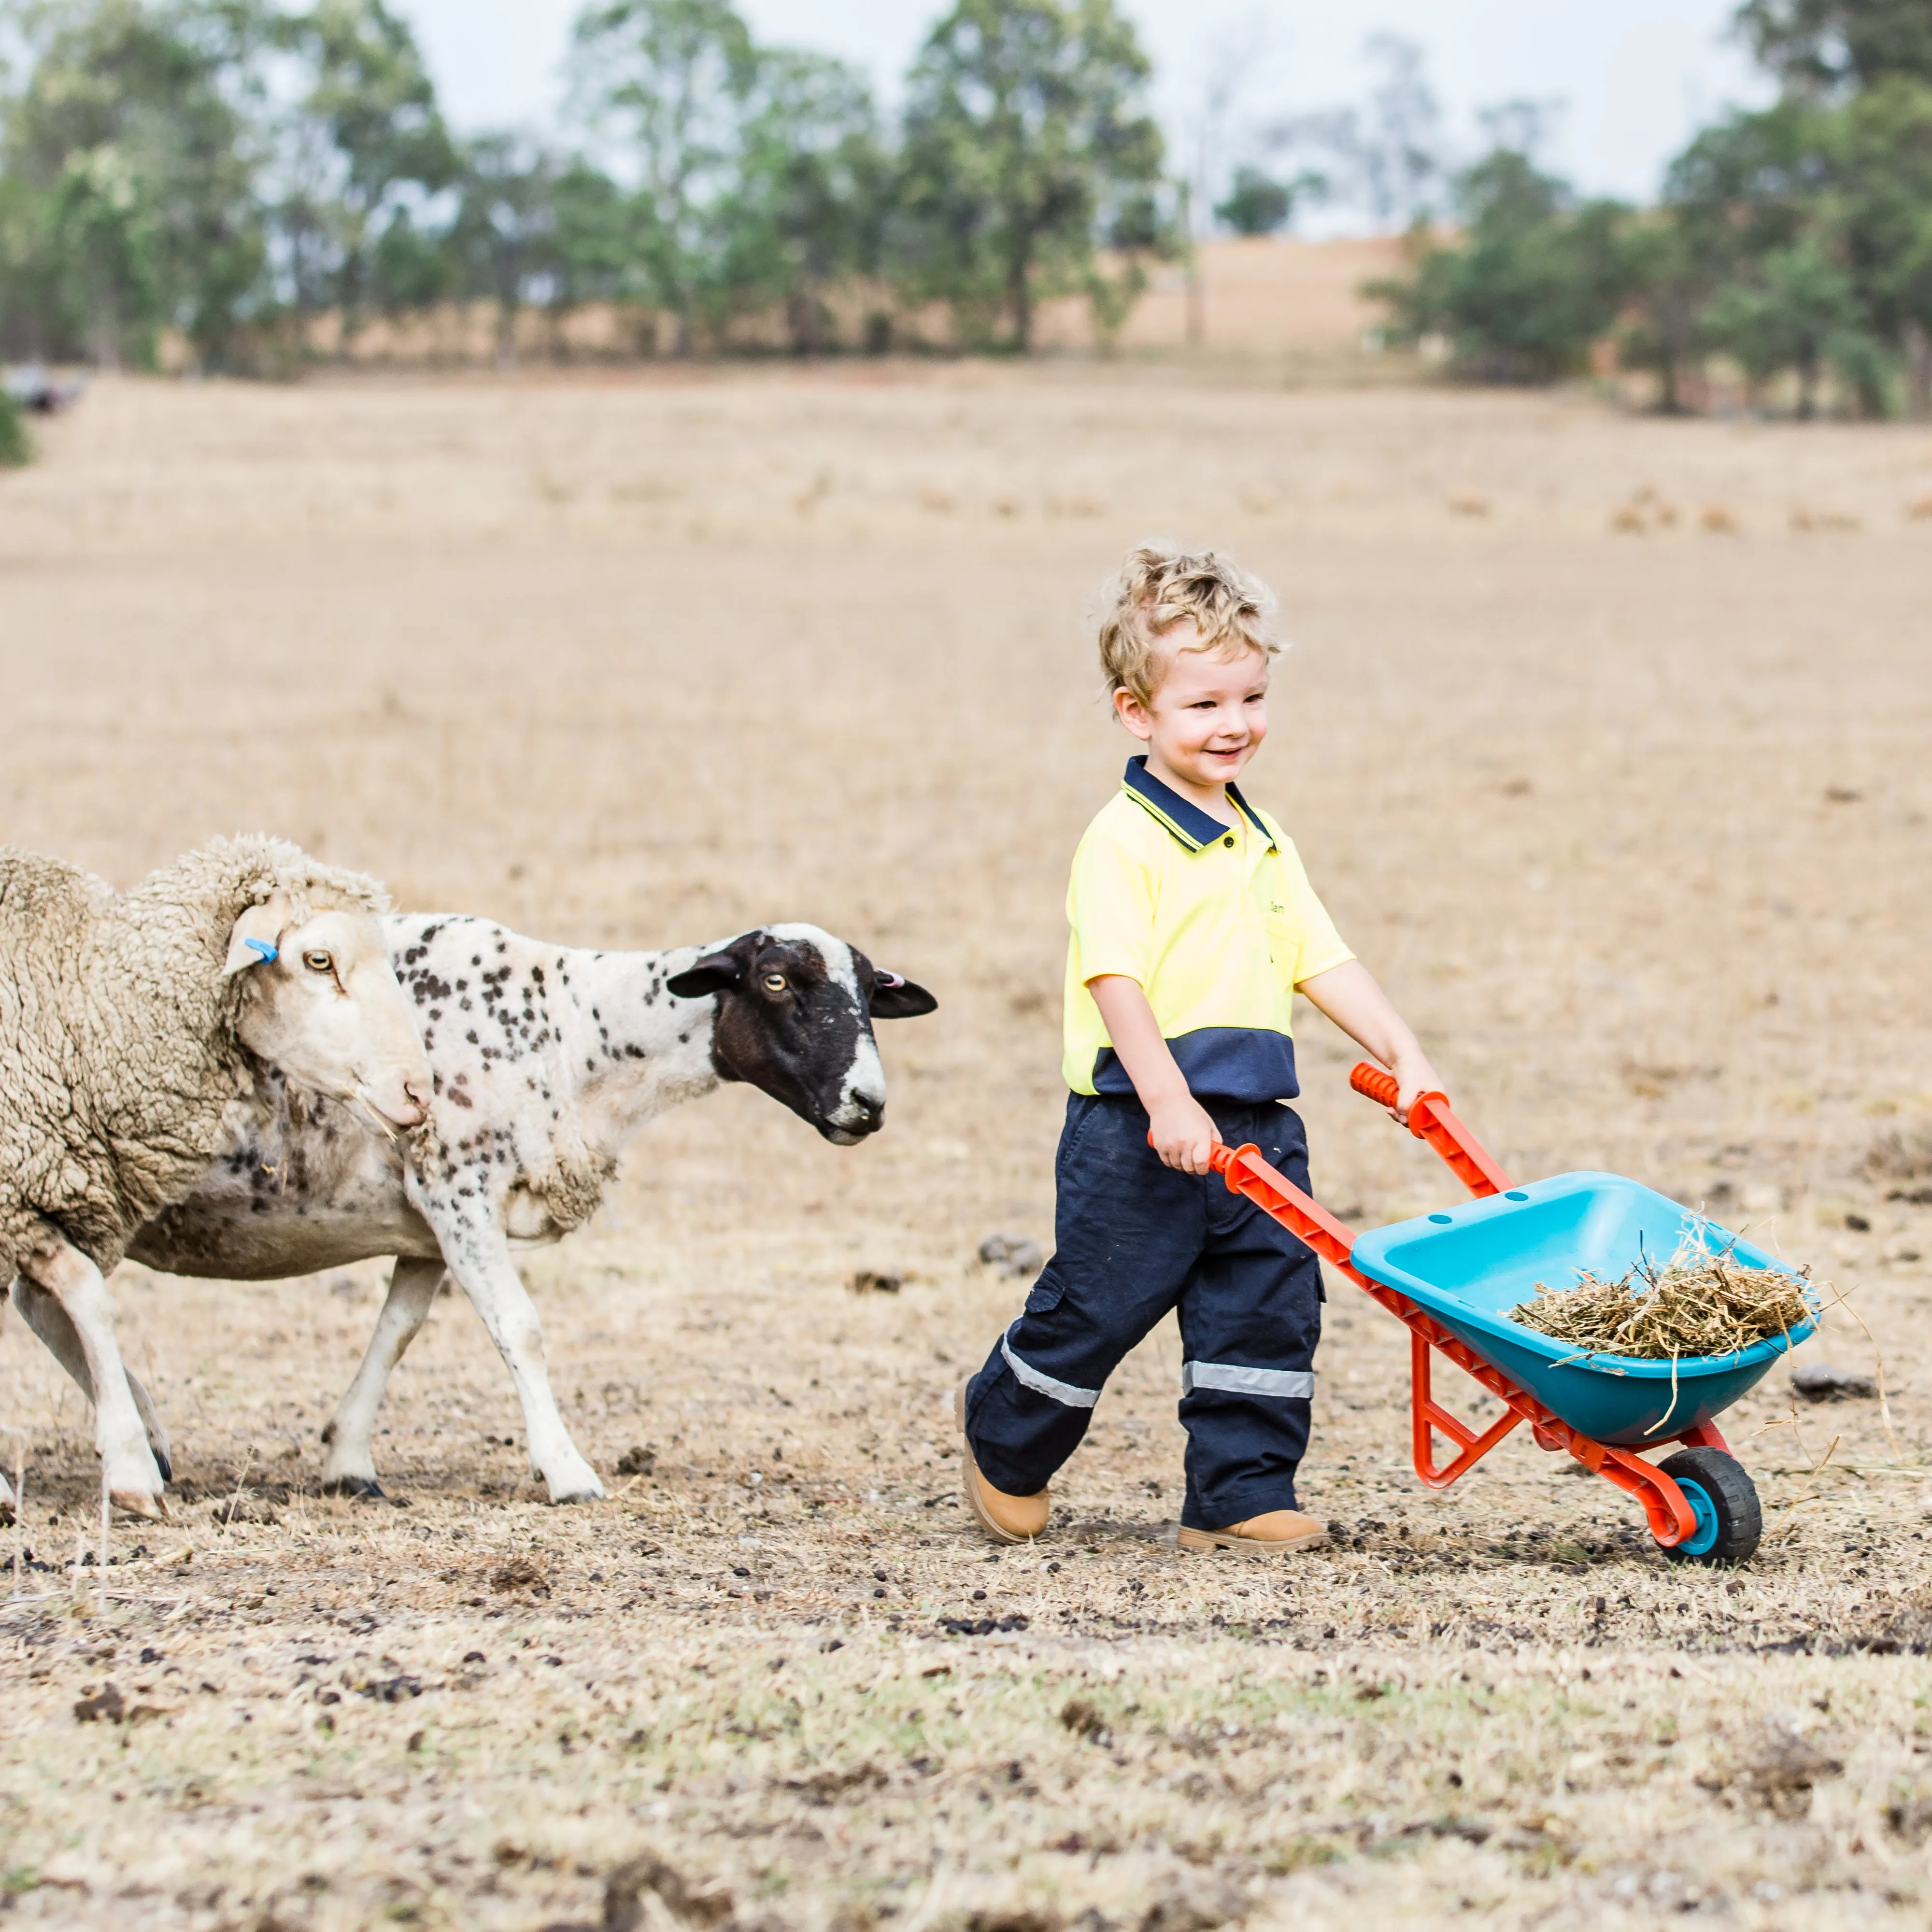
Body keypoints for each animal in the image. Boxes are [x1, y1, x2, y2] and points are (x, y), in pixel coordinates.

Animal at [0, 838, 431, 1515]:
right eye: (319, 961)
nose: (420, 1090)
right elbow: (85, 1292)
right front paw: (131, 1471)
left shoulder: (34, 1187)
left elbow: (74, 1287)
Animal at [60, 912, 935, 1499]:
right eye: (777, 982)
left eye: (871, 994)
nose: (868, 1104)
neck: (573, 1032)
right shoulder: (456, 1187)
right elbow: (522, 1329)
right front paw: (568, 1471)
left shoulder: (427, 1222)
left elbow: (399, 1331)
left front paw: (347, 1460)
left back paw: (147, 1443)